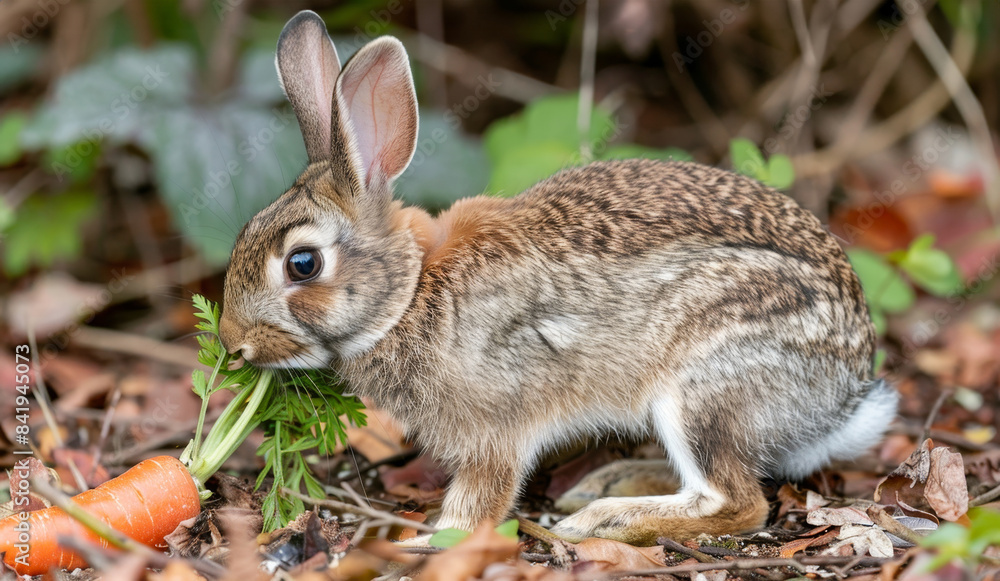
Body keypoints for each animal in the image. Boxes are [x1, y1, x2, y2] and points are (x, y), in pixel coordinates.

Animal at [218, 10, 898, 545]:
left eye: (302, 263)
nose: (233, 344)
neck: (410, 292)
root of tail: (841, 400)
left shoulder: (495, 429)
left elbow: (480, 501)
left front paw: (430, 545)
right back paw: (605, 483)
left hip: (702, 384)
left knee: (738, 500)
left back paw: (605, 519)